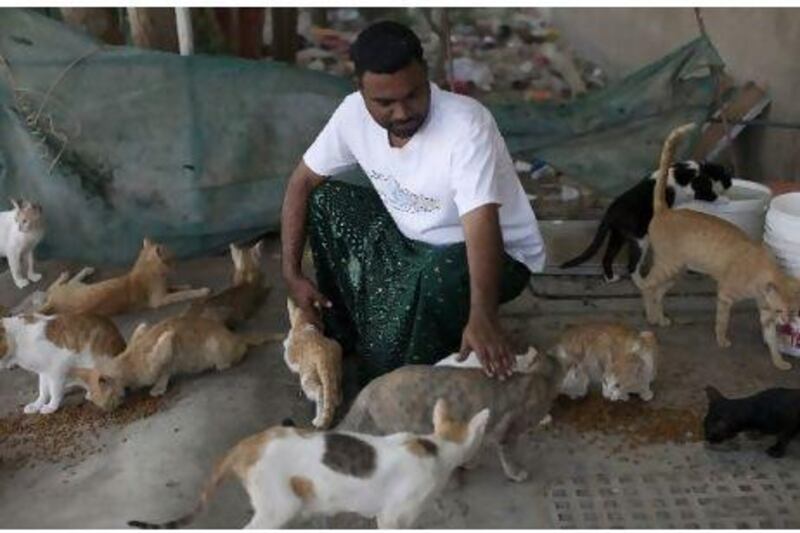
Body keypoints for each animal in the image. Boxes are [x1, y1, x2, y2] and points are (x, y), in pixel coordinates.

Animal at [282, 300, 342, 428]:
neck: (304, 322)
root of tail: (323, 355)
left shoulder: (290, 356)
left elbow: (287, 353)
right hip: (336, 367)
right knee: (334, 392)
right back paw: (335, 401)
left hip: (306, 377)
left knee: (320, 391)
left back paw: (318, 419)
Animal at [636, 122, 800, 368]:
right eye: (781, 309)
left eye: (794, 312)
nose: (785, 322)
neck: (762, 271)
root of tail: (665, 210)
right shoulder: (725, 295)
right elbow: (722, 322)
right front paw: (722, 340)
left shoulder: (765, 313)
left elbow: (771, 340)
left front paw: (778, 361)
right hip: (668, 267)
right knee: (647, 286)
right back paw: (651, 316)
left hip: (675, 272)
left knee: (657, 292)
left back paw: (660, 318)